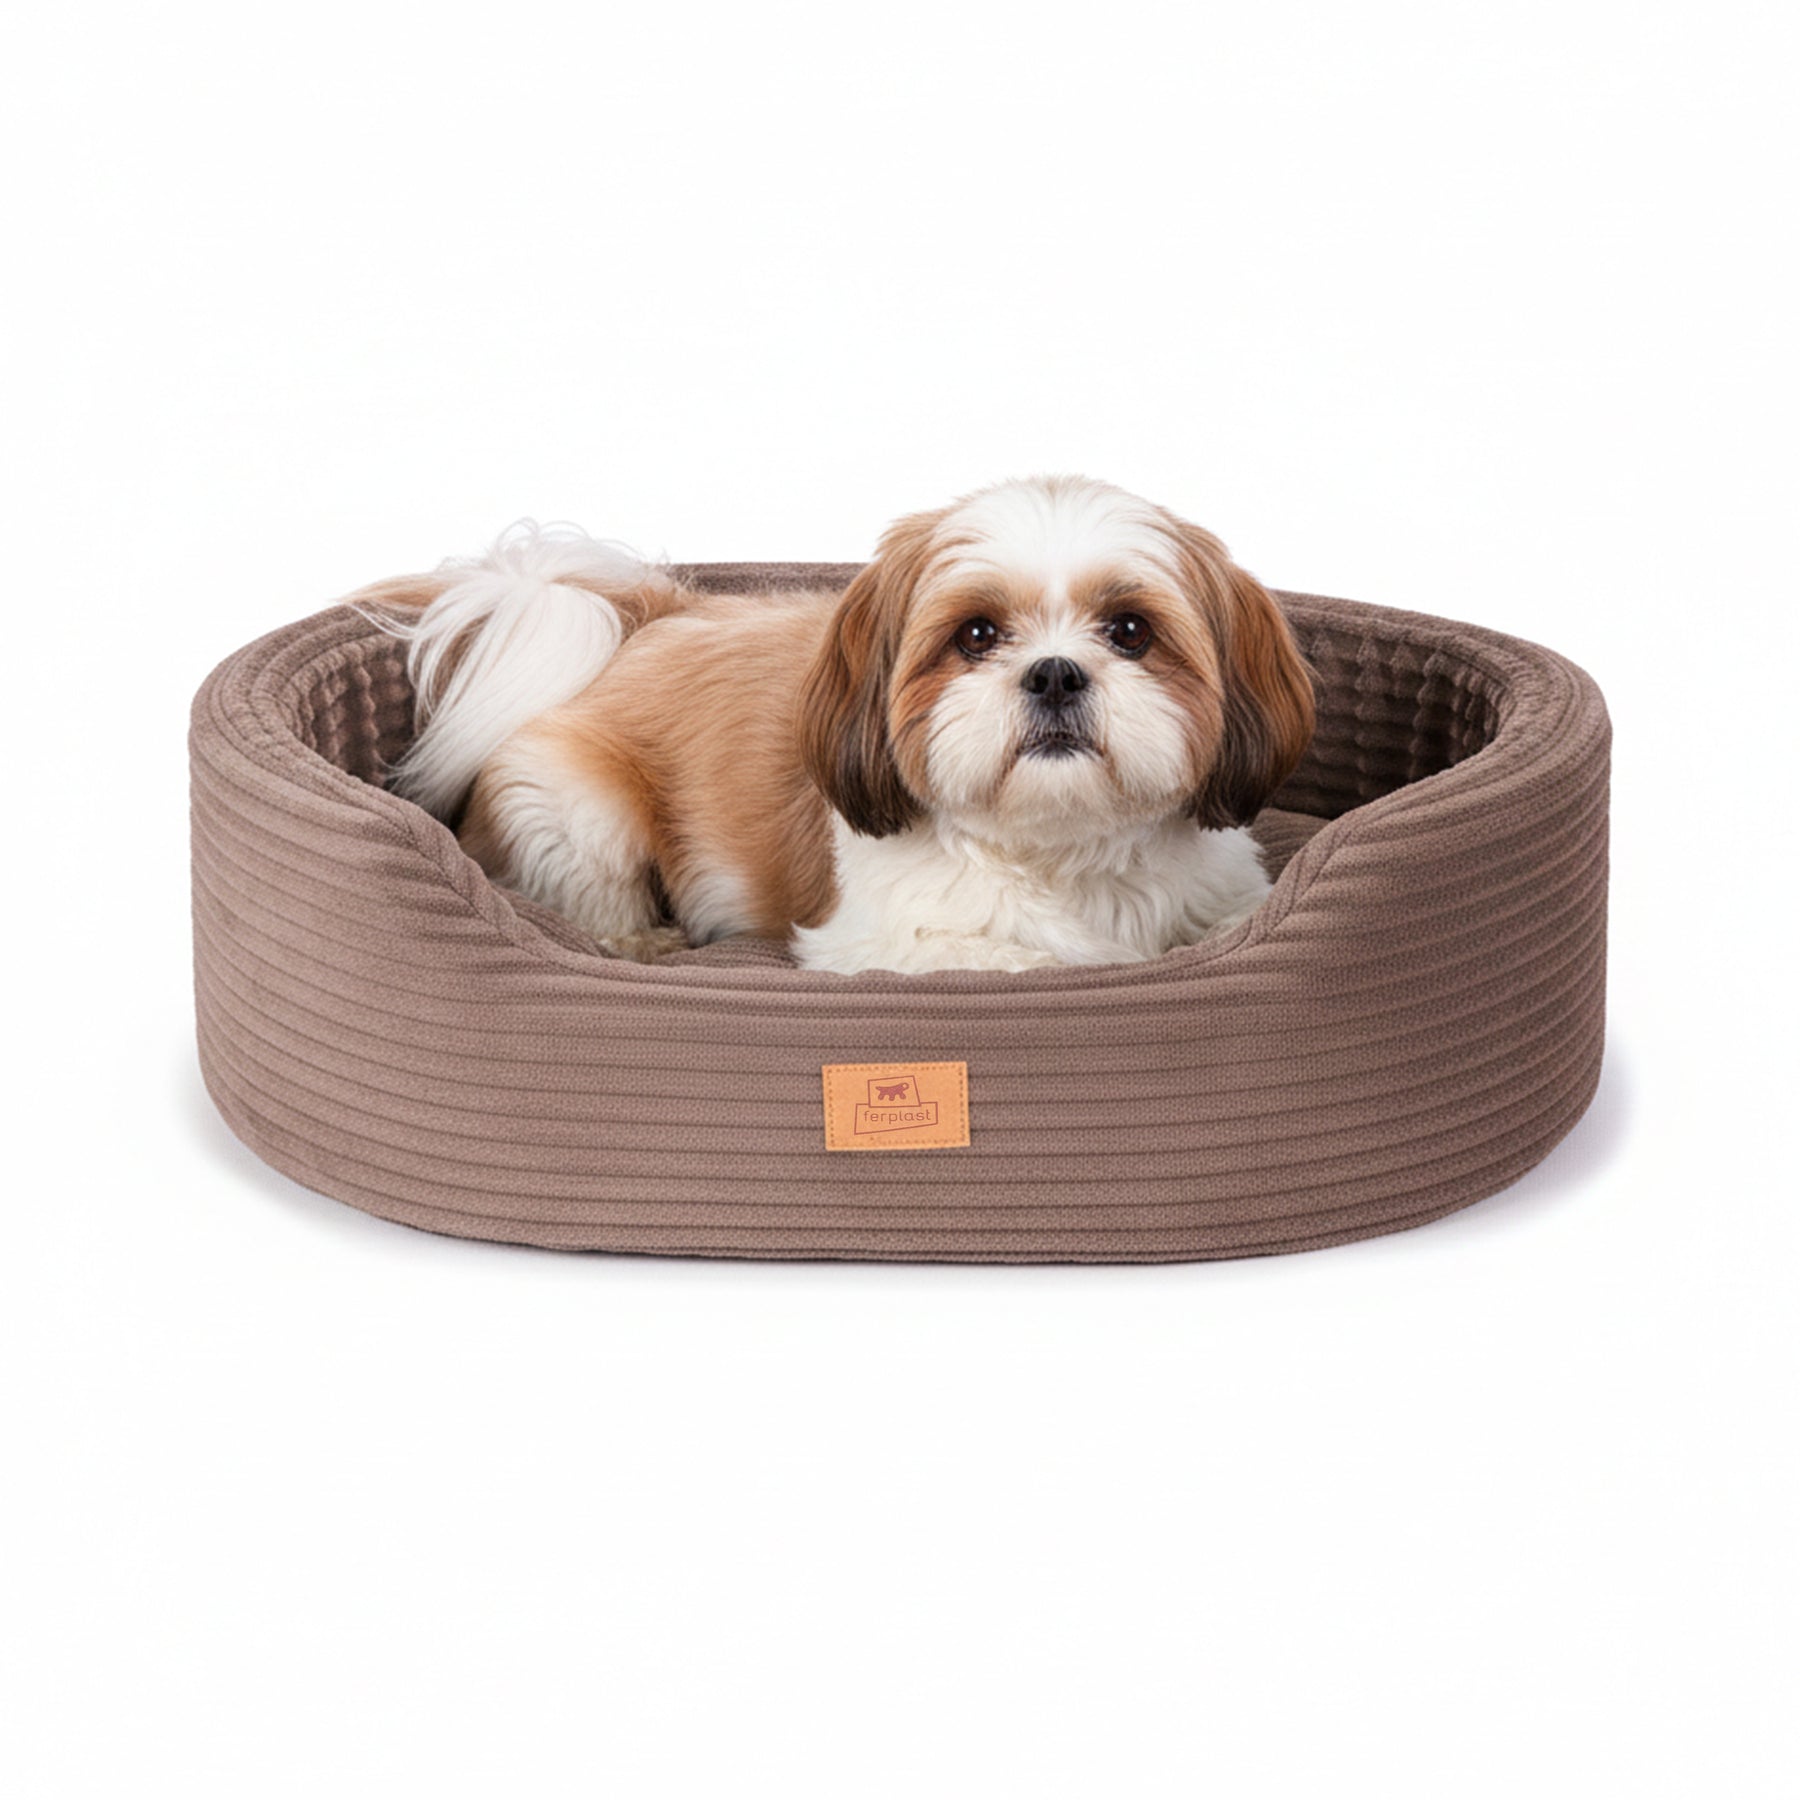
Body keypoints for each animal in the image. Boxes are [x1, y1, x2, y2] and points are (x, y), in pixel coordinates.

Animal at [360, 475, 1314, 974]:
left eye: (1130, 631)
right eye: (977, 636)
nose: (1053, 672)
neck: (1062, 854)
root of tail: (645, 622)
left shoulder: (1227, 892)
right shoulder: (891, 948)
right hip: (576, 811)